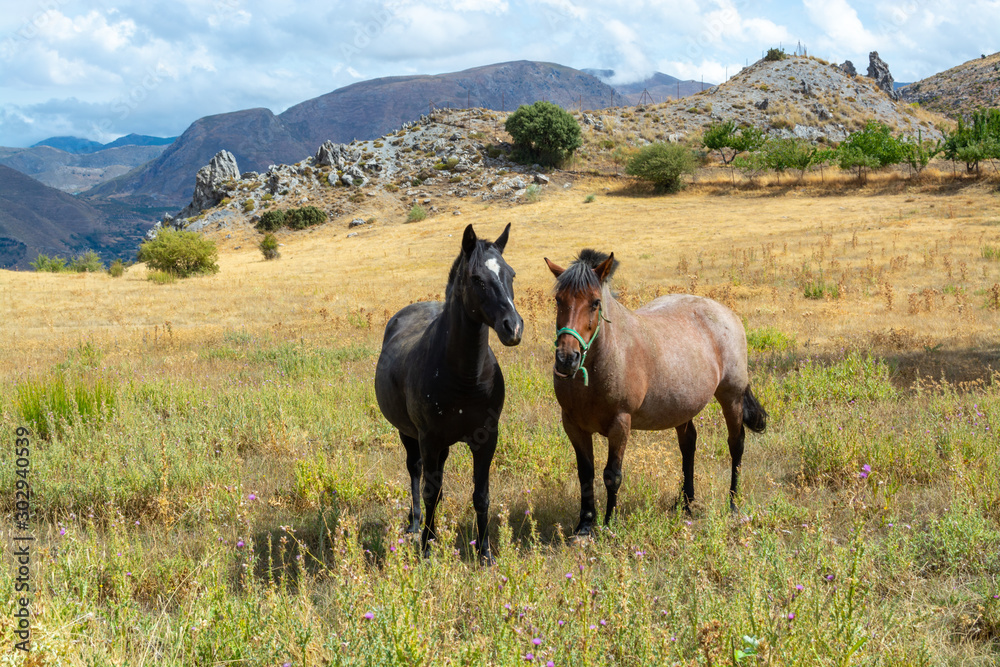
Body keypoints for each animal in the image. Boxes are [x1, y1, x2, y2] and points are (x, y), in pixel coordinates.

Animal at [372, 224, 520, 564]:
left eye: (511, 274)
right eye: (477, 279)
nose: (513, 327)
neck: (465, 377)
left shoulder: (486, 438)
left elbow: (481, 495)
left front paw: (486, 553)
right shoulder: (428, 438)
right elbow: (429, 490)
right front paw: (427, 549)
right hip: (409, 434)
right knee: (416, 473)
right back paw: (416, 524)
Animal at [548, 250, 764, 536]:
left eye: (595, 303)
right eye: (558, 300)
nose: (566, 359)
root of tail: (726, 312)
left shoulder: (620, 424)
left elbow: (612, 475)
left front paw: (608, 524)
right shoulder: (573, 425)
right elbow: (586, 473)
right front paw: (584, 526)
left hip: (732, 396)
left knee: (736, 444)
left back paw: (733, 504)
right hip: (683, 406)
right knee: (688, 445)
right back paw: (686, 503)